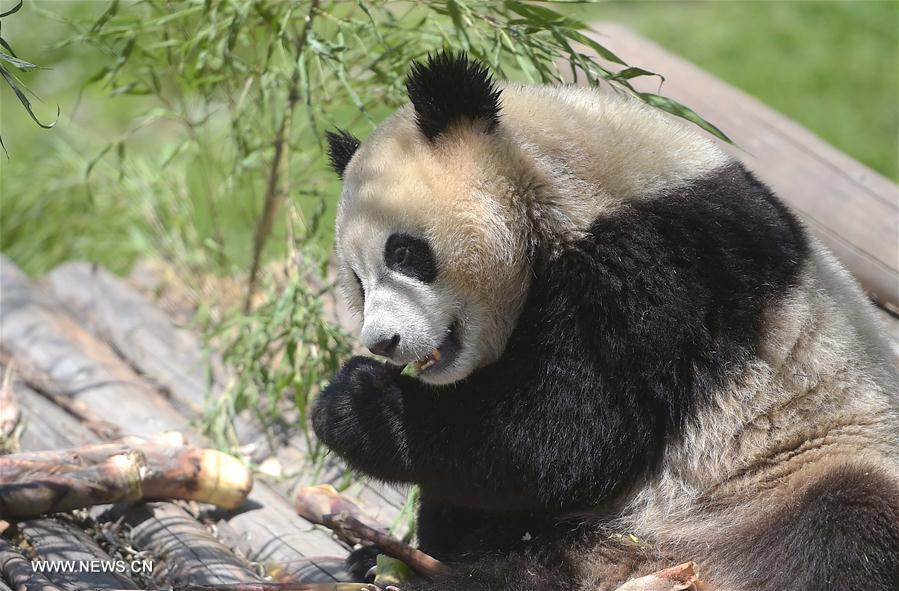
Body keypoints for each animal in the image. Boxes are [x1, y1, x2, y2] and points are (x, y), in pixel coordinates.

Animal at [312, 52, 899, 591]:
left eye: (404, 253)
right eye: (358, 282)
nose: (382, 342)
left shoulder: (658, 265)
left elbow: (564, 438)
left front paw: (352, 402)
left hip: (792, 469)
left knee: (846, 522)